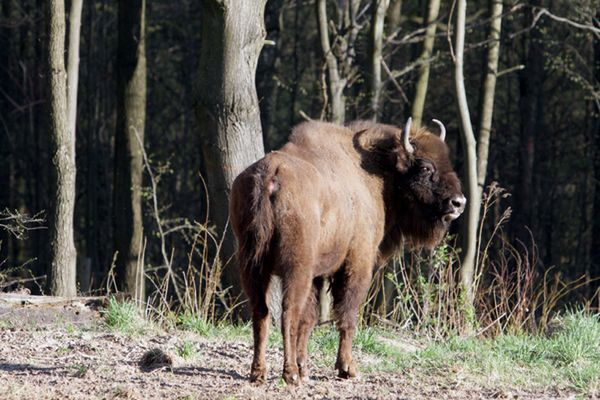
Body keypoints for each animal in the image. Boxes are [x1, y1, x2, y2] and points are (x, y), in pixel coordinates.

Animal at [229, 118, 464, 384]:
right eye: (425, 167)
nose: (458, 202)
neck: (375, 172)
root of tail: (271, 174)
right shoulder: (356, 264)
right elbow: (347, 315)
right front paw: (346, 368)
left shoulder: (318, 274)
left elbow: (309, 319)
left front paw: (305, 367)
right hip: (295, 268)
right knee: (288, 313)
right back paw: (290, 374)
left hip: (252, 264)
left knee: (261, 312)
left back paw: (259, 372)